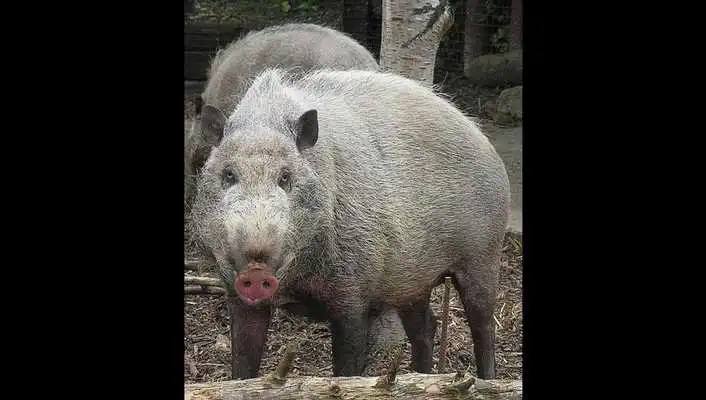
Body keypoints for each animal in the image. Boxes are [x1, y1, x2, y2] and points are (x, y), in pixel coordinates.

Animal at [189, 68, 511, 380]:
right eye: (229, 174)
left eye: (285, 177)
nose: (256, 269)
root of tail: (485, 143)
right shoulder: (237, 295)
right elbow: (242, 368)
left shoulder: (354, 295)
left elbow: (348, 371)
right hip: (413, 280)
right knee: (426, 328)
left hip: (484, 253)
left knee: (484, 325)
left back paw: (487, 379)